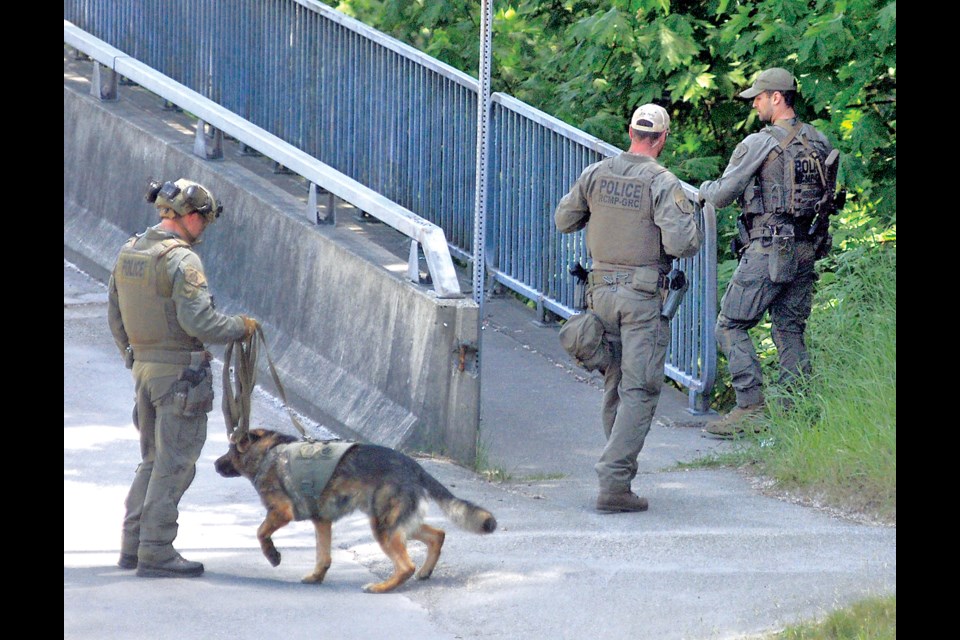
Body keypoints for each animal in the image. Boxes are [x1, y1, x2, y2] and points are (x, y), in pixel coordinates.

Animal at [215, 428, 498, 592]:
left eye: (229, 450)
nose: (216, 464)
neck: (269, 452)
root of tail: (414, 467)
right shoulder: (322, 521)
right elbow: (323, 556)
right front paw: (317, 577)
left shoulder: (280, 512)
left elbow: (261, 533)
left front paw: (272, 555)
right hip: (398, 523)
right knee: (437, 535)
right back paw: (426, 571)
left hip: (383, 526)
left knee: (406, 565)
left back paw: (381, 587)